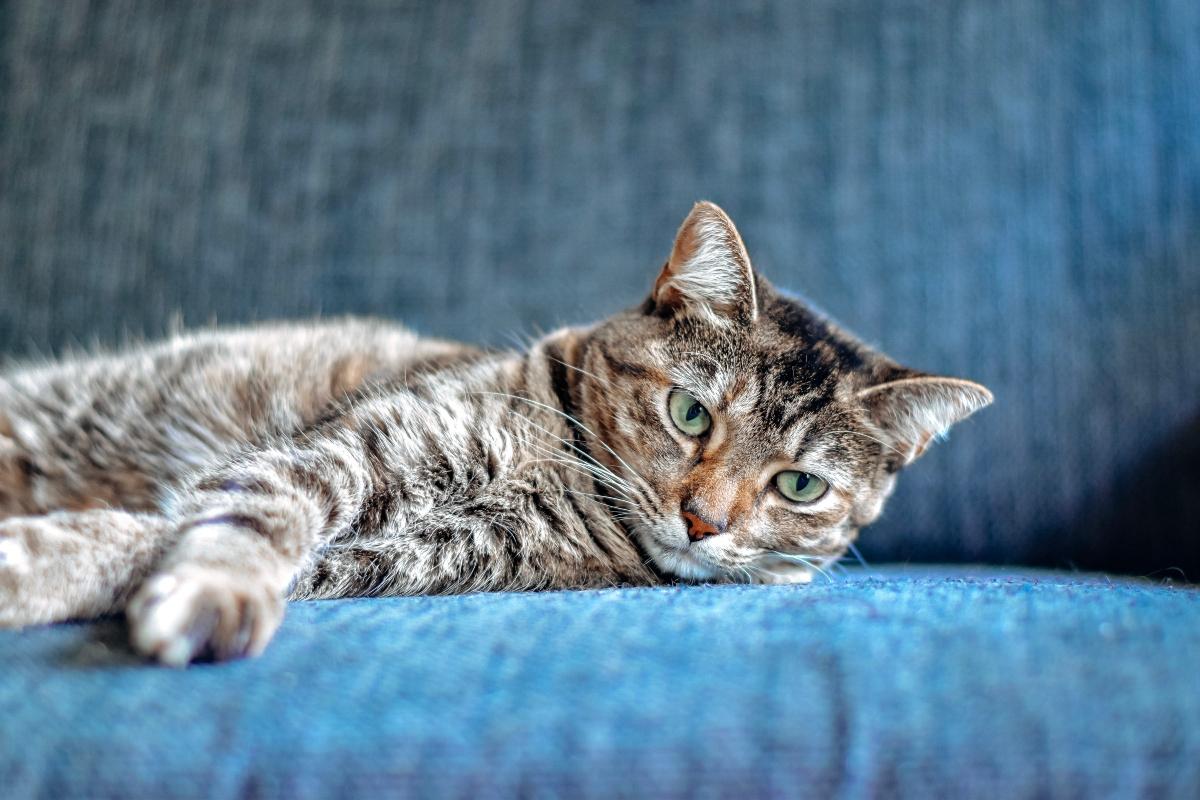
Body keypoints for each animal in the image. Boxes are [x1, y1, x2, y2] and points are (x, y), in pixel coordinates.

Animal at [0, 203, 993, 666]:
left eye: (800, 486)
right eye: (691, 414)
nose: (704, 522)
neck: (559, 482)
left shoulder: (402, 561)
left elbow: (151, 535)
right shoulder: (339, 452)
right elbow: (248, 517)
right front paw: (214, 591)